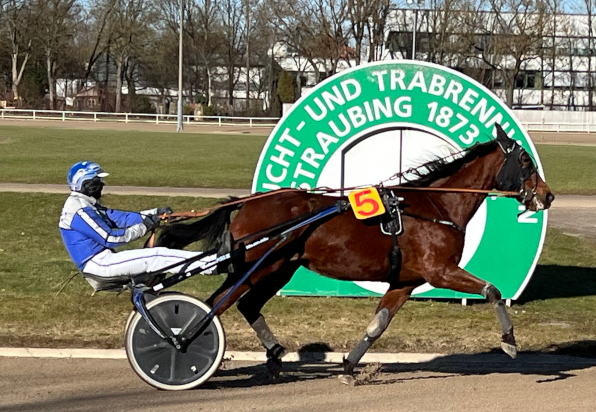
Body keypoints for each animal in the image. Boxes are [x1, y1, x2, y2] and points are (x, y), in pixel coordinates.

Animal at [155, 123, 556, 384]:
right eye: (525, 160)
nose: (548, 195)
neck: (437, 205)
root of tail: (246, 204)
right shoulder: (439, 270)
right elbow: (493, 290)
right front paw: (510, 343)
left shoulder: (405, 281)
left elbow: (378, 324)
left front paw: (348, 368)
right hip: (257, 267)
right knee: (217, 304)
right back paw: (180, 345)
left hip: (280, 267)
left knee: (246, 305)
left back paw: (274, 355)